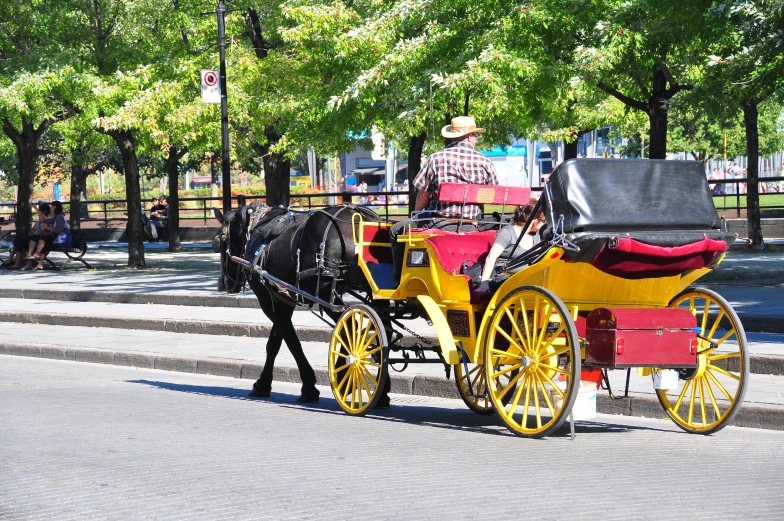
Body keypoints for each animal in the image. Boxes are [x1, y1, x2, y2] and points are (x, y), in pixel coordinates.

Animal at [214, 202, 388, 402]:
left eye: (220, 241)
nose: (224, 283)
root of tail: (363, 218)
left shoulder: (268, 301)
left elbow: (291, 342)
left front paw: (308, 386)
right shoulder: (283, 298)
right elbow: (275, 342)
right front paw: (264, 383)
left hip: (327, 295)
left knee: (350, 330)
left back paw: (345, 377)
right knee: (383, 329)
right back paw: (379, 391)